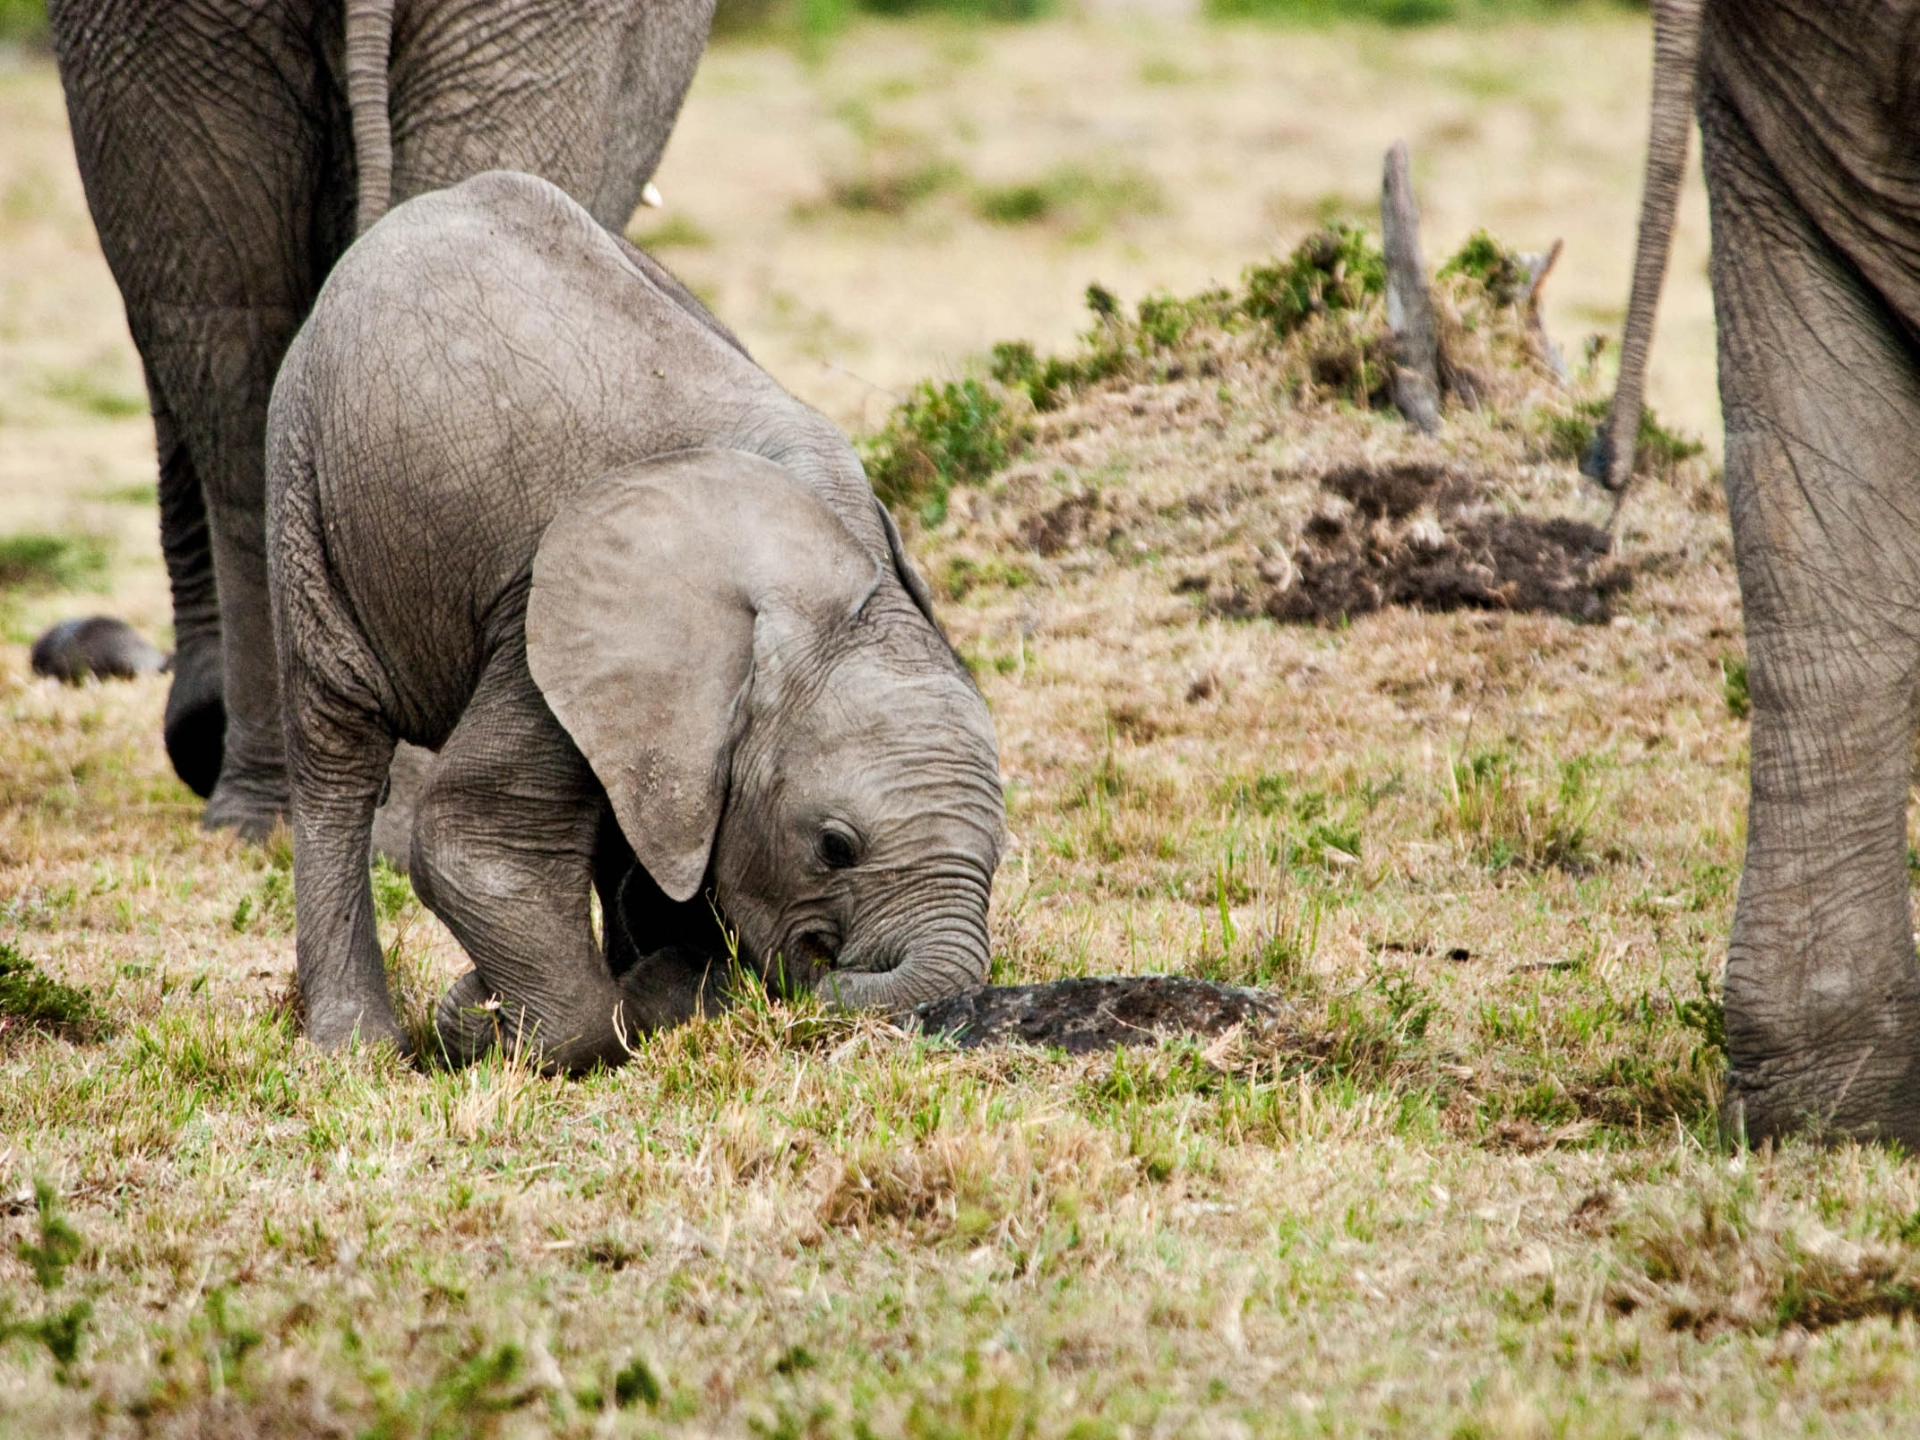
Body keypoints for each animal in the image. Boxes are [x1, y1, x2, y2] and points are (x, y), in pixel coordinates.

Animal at [266, 171, 1006, 1075]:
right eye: (836, 847)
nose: (824, 987)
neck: (831, 571)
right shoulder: (543, 624)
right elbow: (466, 842)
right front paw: (482, 1023)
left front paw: (633, 990)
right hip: (305, 476)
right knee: (335, 745)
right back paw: (358, 1050)